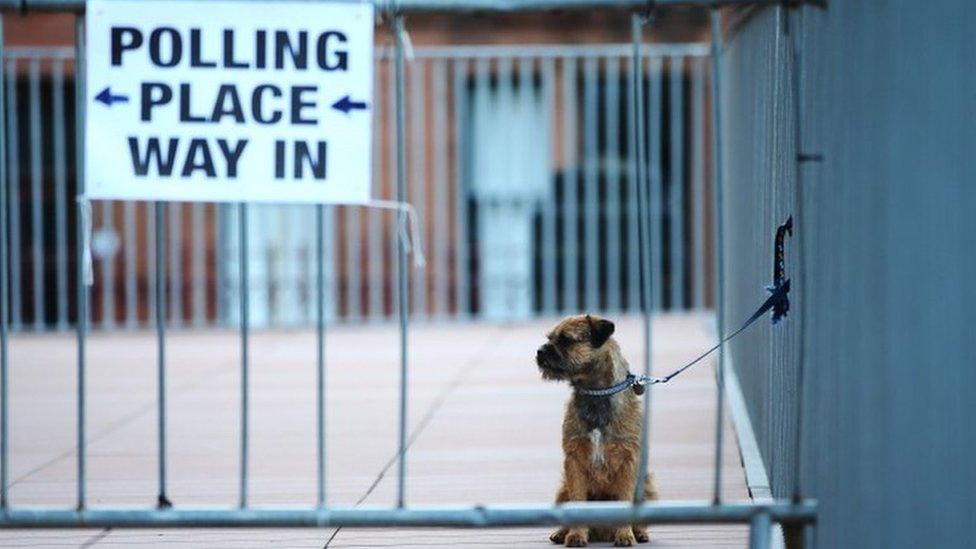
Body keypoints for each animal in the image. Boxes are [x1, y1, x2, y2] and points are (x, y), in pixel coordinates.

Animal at [536, 310, 660, 544]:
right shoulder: (573, 462)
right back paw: (562, 532)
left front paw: (625, 535)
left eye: (566, 340)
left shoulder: (628, 462)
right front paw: (576, 535)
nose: (540, 351)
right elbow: (577, 501)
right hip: (562, 489)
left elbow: (625, 500)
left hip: (647, 487)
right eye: (550, 338)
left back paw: (639, 532)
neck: (596, 393)